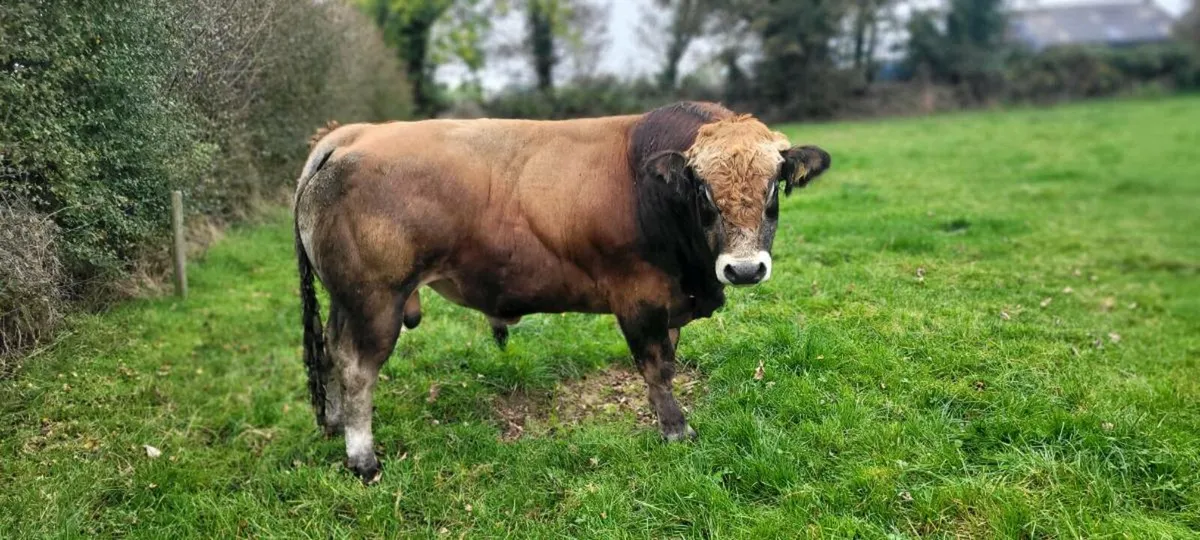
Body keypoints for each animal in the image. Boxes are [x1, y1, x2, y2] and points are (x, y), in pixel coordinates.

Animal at [294, 102, 831, 483]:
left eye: (774, 187)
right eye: (702, 189)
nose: (744, 269)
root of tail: (354, 133)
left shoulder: (669, 304)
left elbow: (670, 364)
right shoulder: (638, 299)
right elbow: (656, 369)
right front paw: (676, 430)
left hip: (346, 301)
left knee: (329, 351)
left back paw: (335, 423)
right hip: (374, 301)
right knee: (356, 368)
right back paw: (363, 458)